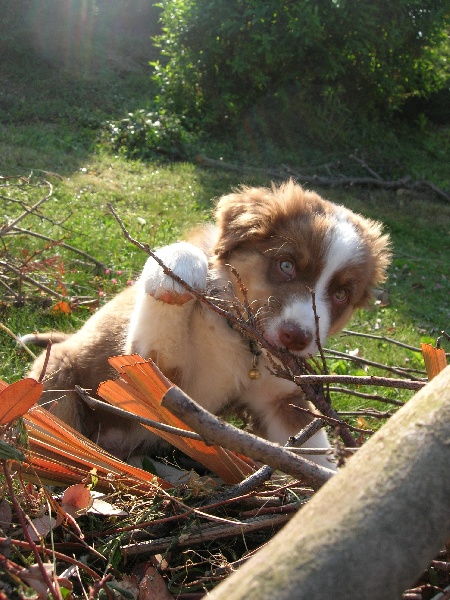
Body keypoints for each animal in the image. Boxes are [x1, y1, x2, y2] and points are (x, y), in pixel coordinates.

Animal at [23, 180, 390, 472]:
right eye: (286, 265)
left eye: (341, 294)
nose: (296, 338)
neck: (240, 338)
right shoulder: (151, 370)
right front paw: (176, 267)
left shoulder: (282, 399)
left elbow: (312, 450)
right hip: (57, 373)